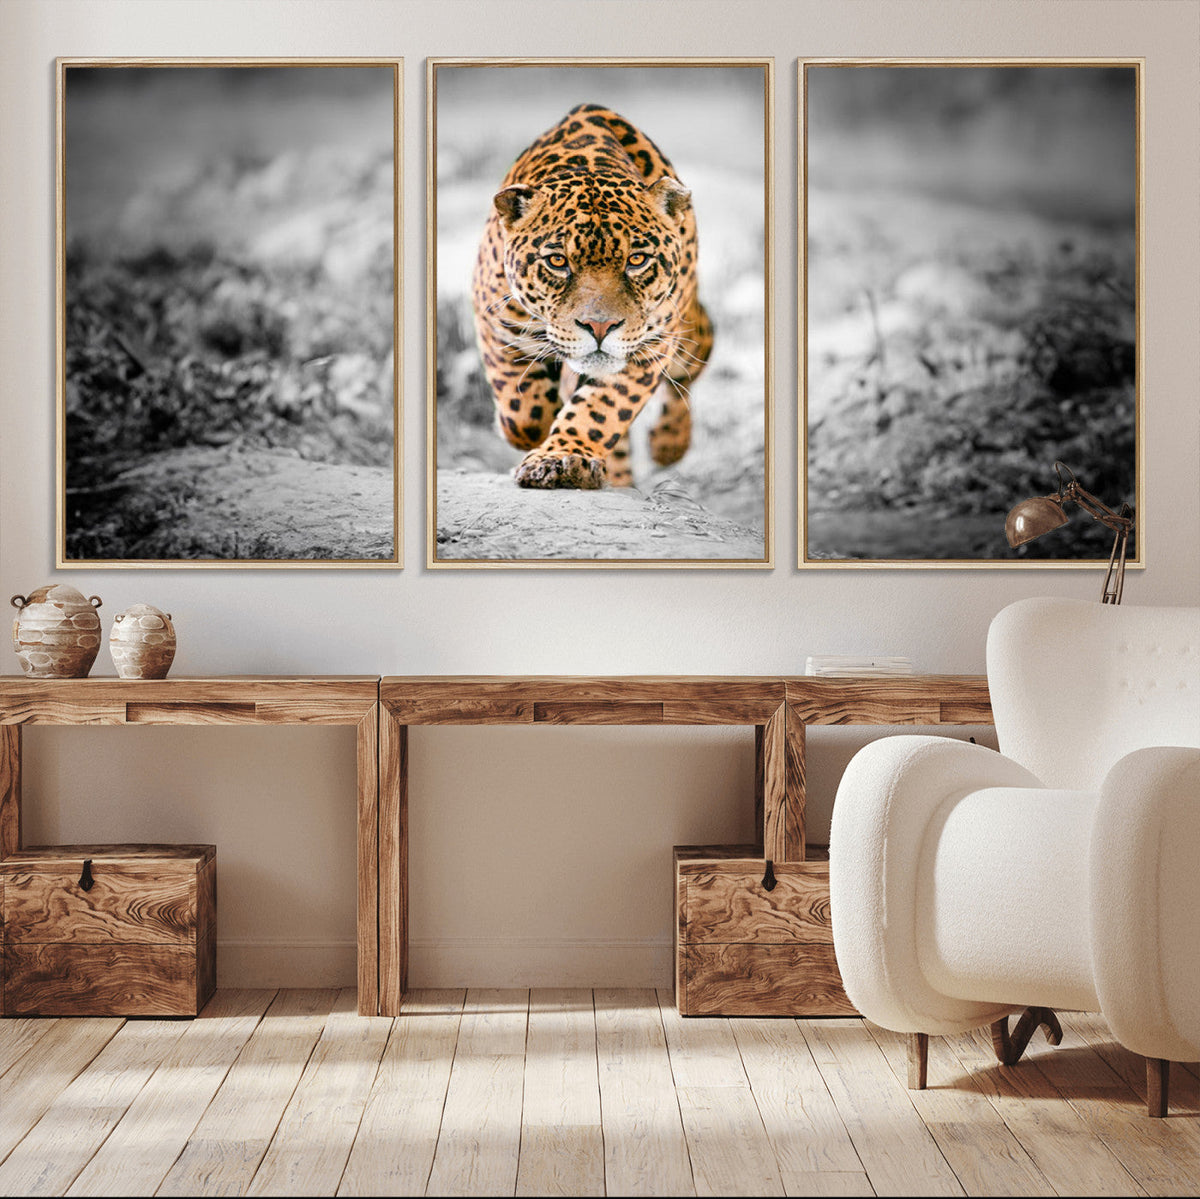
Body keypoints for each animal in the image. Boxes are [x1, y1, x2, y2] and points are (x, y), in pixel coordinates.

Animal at [470, 103, 713, 489]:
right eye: (557, 261)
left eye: (637, 260)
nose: (600, 327)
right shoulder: (497, 322)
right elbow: (523, 412)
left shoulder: (650, 346)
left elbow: (602, 409)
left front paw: (562, 458)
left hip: (686, 331)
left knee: (694, 361)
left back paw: (668, 444)